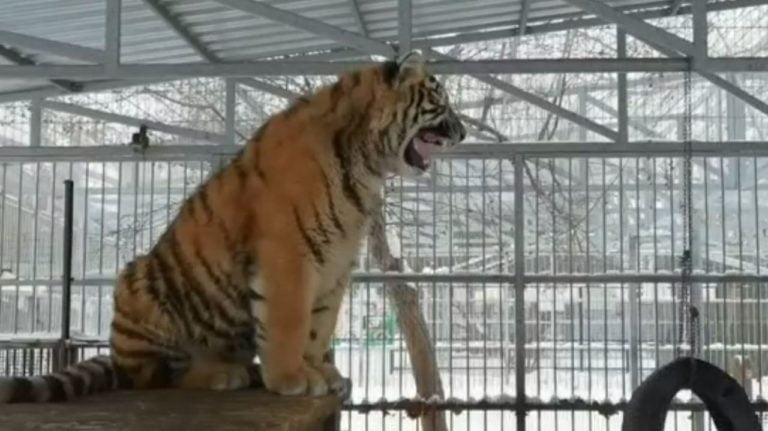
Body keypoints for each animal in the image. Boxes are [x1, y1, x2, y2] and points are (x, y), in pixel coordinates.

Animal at [0, 51, 466, 402]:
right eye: (440, 101)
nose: (462, 133)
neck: (364, 165)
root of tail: (115, 355)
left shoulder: (337, 263)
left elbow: (319, 327)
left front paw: (324, 374)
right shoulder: (289, 254)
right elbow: (290, 322)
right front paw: (292, 379)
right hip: (137, 287)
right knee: (156, 376)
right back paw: (222, 374)